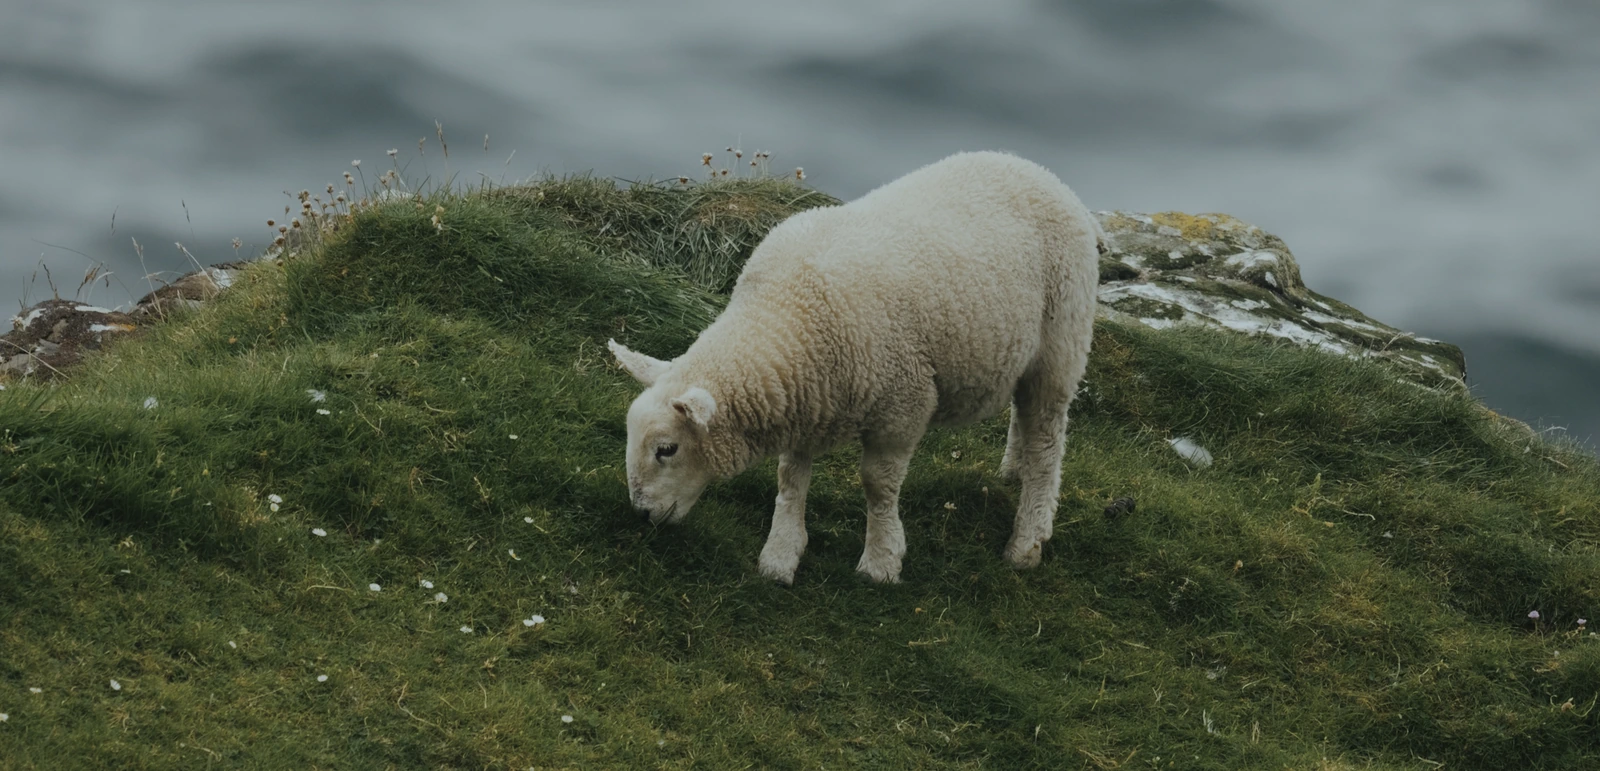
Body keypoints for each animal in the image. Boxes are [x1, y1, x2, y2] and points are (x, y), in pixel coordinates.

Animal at [609, 151, 1100, 584]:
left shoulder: (902, 405)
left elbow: (877, 484)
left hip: (1061, 342)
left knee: (1047, 440)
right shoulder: (804, 396)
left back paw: (1027, 538)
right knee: (1023, 415)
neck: (790, 311)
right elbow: (790, 477)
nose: (642, 514)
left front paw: (881, 560)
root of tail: (1033, 168)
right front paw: (781, 553)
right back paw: (1012, 469)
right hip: (1024, 354)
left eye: (666, 449)